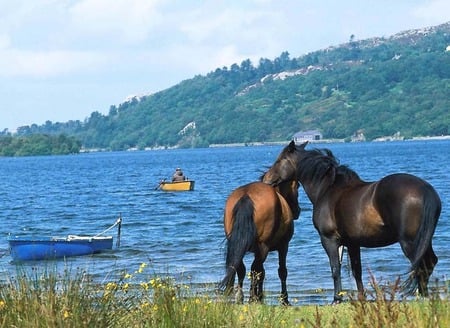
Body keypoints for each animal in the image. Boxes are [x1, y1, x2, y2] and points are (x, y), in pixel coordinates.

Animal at [262, 140, 442, 302]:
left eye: (279, 160)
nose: (266, 179)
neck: (328, 189)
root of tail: (426, 190)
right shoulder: (353, 243)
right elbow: (357, 271)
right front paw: (361, 298)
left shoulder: (329, 240)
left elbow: (335, 268)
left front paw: (336, 299)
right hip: (424, 240)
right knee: (429, 263)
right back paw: (426, 297)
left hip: (410, 242)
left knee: (421, 265)